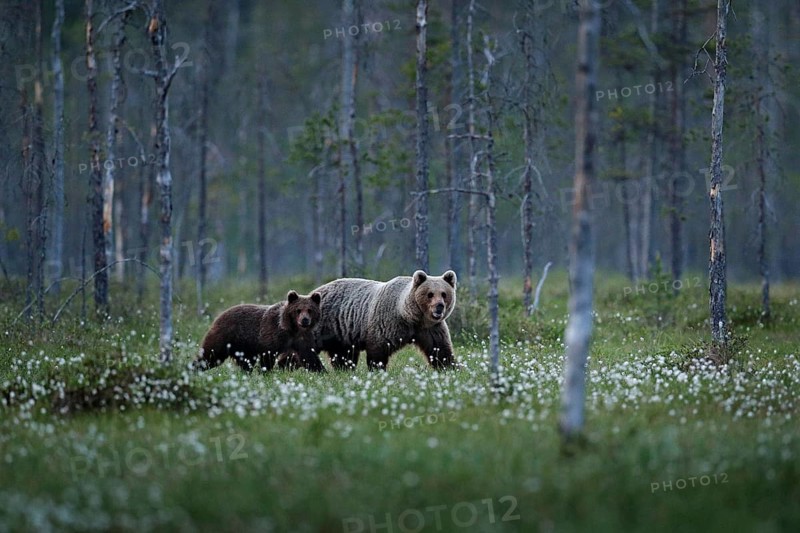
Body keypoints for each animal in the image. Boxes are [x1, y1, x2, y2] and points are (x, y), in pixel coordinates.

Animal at [195, 290, 325, 372]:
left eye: (310, 310)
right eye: (298, 310)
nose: (305, 320)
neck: (292, 329)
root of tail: (220, 315)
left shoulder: (302, 338)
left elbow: (309, 356)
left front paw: (321, 371)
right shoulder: (271, 333)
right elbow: (268, 354)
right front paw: (266, 372)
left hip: (244, 347)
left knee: (246, 362)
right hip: (226, 336)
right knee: (211, 354)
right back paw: (194, 368)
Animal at [313, 270, 457, 371]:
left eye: (444, 294)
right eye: (430, 294)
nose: (439, 306)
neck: (410, 317)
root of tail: (318, 289)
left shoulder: (430, 328)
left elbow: (439, 349)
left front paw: (451, 367)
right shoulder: (387, 322)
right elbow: (378, 349)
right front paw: (377, 369)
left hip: (342, 333)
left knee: (343, 354)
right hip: (325, 321)